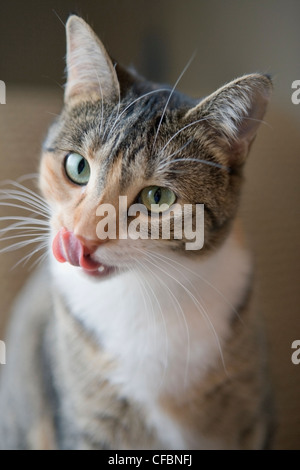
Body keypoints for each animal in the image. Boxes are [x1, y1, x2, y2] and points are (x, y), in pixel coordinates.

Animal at [0, 15, 274, 452]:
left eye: (158, 197)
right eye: (77, 166)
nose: (81, 238)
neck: (144, 291)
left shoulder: (249, 417)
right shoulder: (86, 421)